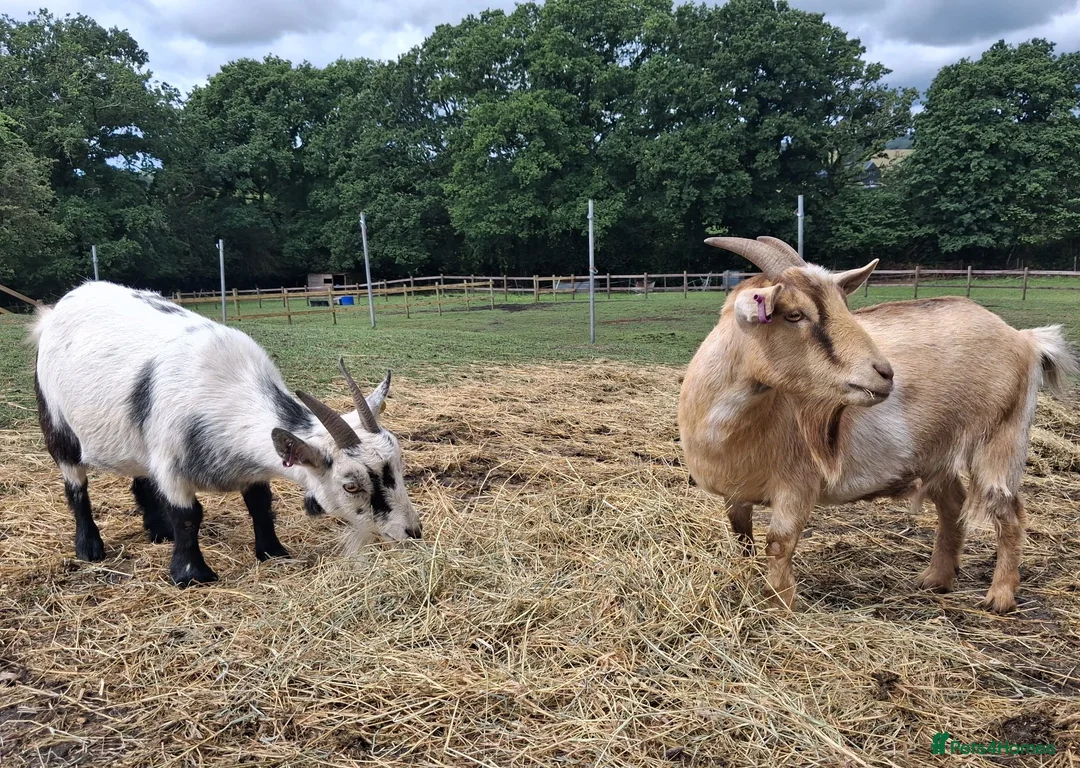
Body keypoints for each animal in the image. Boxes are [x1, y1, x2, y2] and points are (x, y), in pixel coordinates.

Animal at [30, 281, 422, 586]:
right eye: (350, 485)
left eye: (399, 466)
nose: (412, 532)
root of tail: (56, 310)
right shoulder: (171, 462)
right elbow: (188, 515)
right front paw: (191, 575)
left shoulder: (248, 465)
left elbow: (260, 504)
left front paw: (273, 552)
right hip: (56, 421)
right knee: (75, 484)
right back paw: (90, 547)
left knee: (140, 475)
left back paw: (157, 532)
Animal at [677, 237, 1077, 613]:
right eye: (793, 314)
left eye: (843, 306)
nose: (884, 373)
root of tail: (1024, 338)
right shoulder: (735, 494)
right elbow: (742, 539)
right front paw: (744, 582)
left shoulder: (797, 485)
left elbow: (778, 544)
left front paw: (779, 606)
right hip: (936, 452)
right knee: (953, 504)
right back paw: (937, 578)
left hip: (1002, 438)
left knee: (1009, 510)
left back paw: (1000, 596)